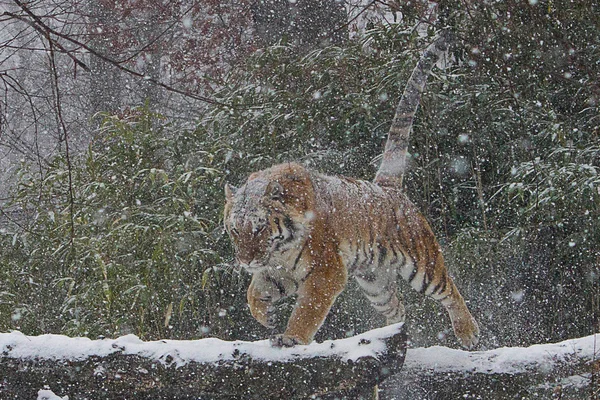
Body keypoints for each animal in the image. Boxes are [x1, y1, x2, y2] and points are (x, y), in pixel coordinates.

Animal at [223, 31, 480, 348]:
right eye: (235, 230)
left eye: (258, 228)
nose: (245, 260)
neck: (279, 248)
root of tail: (386, 187)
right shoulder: (277, 269)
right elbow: (253, 292)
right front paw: (264, 316)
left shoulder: (325, 271)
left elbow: (307, 311)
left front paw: (291, 338)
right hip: (375, 283)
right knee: (398, 309)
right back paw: (394, 335)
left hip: (422, 263)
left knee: (449, 289)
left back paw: (468, 332)